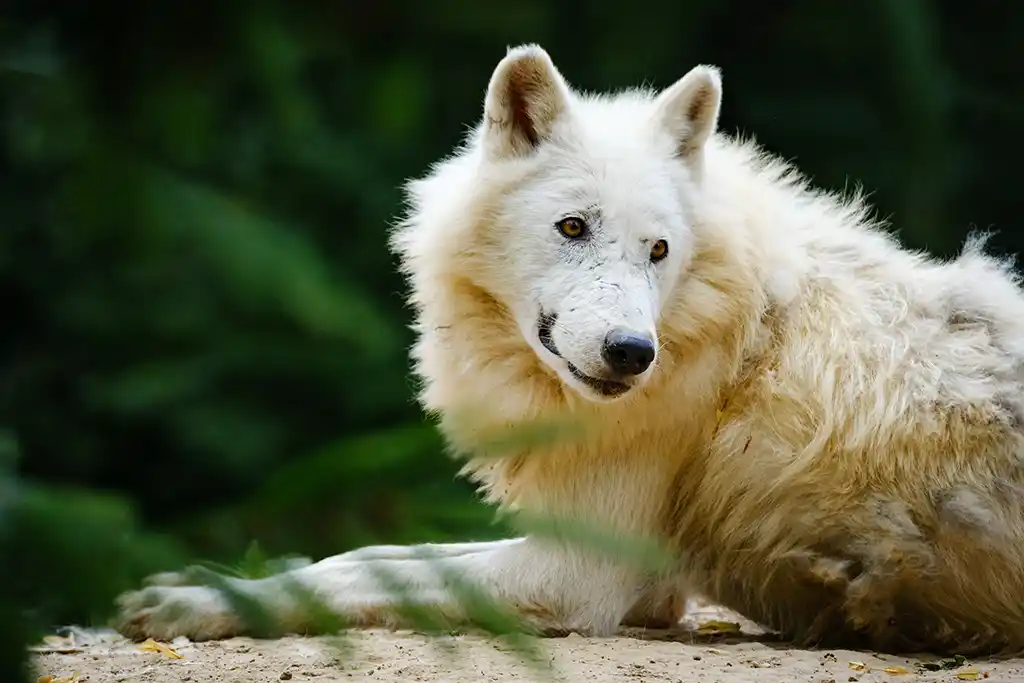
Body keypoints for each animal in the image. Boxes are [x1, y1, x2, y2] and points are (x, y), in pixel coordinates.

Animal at [114, 44, 1024, 655]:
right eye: (574, 227)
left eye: (658, 249)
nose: (631, 353)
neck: (736, 325)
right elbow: (376, 551)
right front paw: (201, 581)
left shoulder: (586, 573)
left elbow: (368, 569)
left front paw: (201, 607)